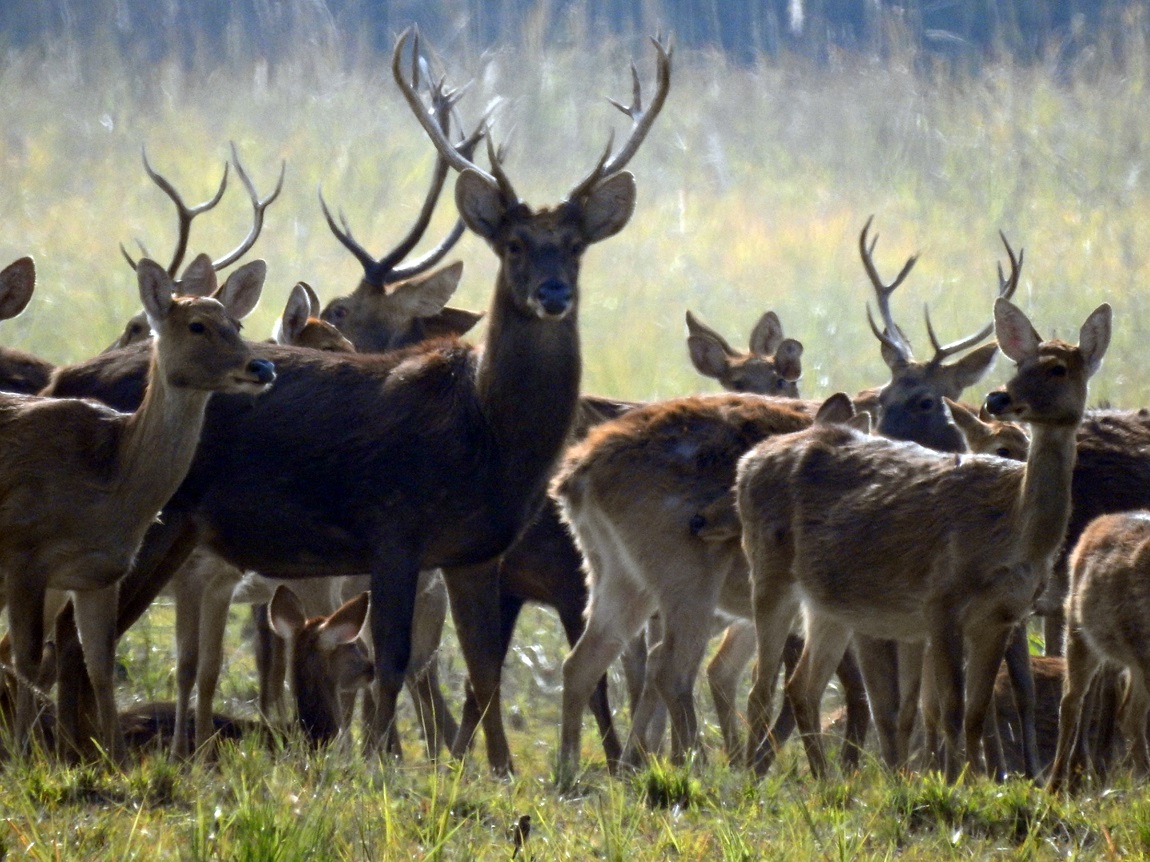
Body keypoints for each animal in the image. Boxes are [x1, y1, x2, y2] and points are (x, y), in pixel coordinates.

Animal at [0, 258, 276, 763]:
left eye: (237, 323)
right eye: (196, 324)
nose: (261, 366)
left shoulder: (99, 574)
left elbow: (99, 661)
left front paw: (115, 761)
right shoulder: (24, 555)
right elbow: (28, 658)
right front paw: (23, 756)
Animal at [44, 30, 671, 767]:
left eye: (574, 247)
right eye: (514, 244)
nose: (553, 293)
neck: (489, 436)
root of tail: (63, 377)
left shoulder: (475, 552)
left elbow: (483, 669)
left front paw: (498, 773)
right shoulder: (394, 528)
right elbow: (392, 659)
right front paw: (378, 764)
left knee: (75, 636)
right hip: (142, 522)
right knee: (75, 635)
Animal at [740, 296, 1108, 781]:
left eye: (1058, 368)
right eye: (1019, 363)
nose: (999, 398)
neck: (1011, 535)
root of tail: (748, 461)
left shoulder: (1001, 617)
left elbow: (974, 712)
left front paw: (975, 782)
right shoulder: (941, 602)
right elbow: (949, 709)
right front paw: (954, 784)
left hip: (829, 604)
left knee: (802, 687)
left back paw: (824, 781)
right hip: (769, 573)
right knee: (760, 687)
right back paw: (752, 778)